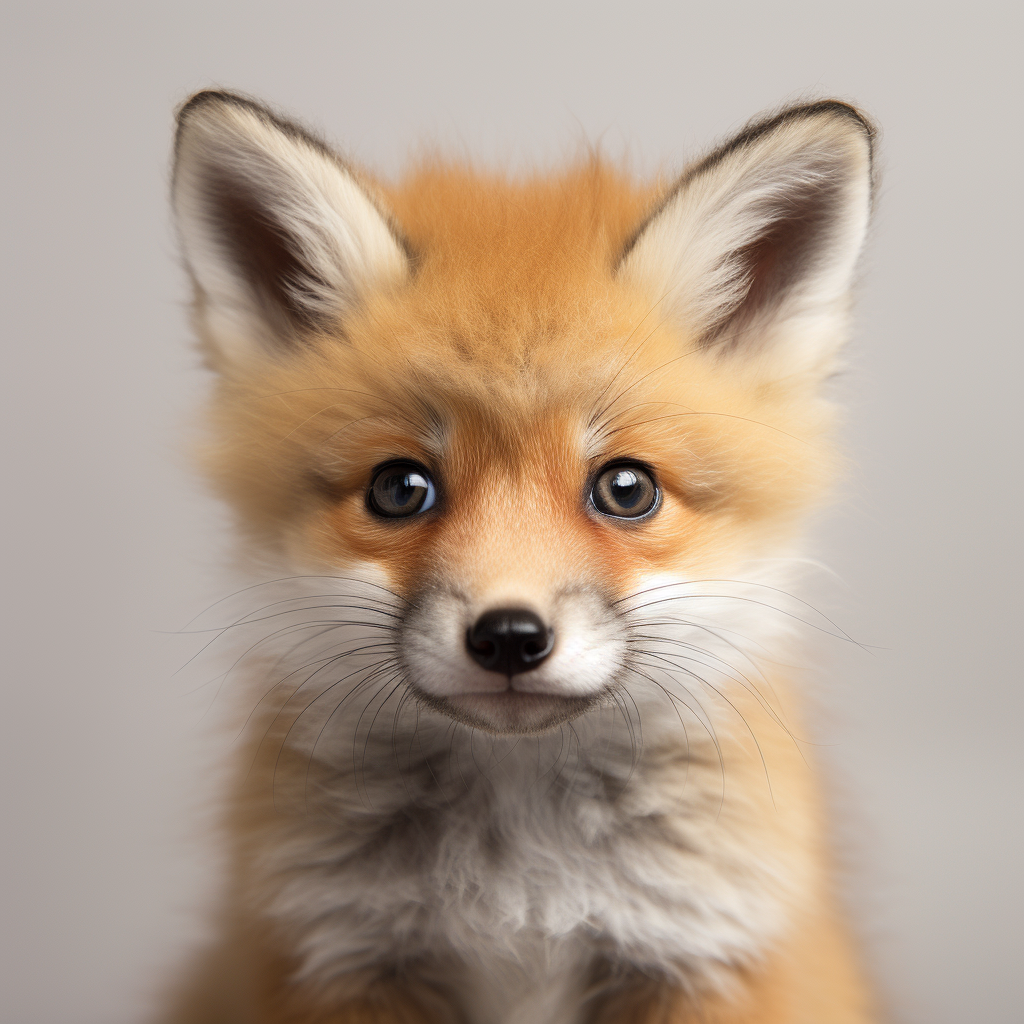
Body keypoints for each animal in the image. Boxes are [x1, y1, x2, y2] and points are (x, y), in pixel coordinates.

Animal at [165, 90, 880, 1024]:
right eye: (400, 488)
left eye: (626, 489)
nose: (508, 637)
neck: (521, 889)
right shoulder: (343, 959)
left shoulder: (700, 953)